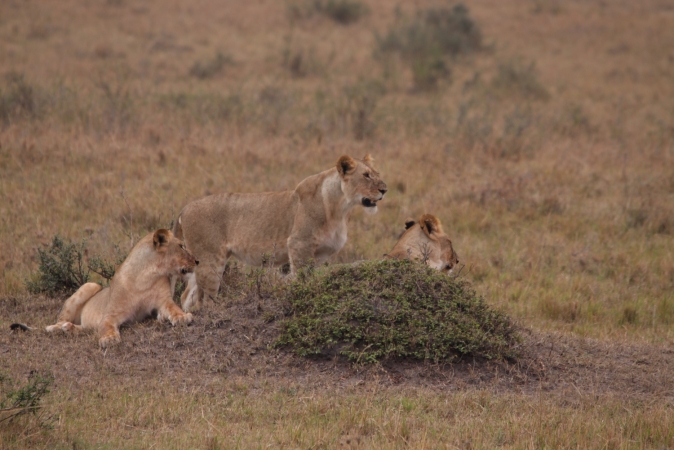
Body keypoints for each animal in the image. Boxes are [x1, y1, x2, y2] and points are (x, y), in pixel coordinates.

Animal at [43, 229, 197, 348]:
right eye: (181, 246)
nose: (197, 261)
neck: (146, 278)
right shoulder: (111, 314)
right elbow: (105, 326)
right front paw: (109, 339)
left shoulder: (164, 301)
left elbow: (174, 308)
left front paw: (182, 317)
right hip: (91, 285)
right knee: (61, 320)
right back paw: (57, 328)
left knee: (86, 328)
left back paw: (69, 328)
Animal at [173, 153, 386, 312]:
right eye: (366, 175)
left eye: (376, 173)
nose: (385, 190)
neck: (339, 208)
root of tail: (184, 209)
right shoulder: (299, 244)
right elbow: (301, 277)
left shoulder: (321, 254)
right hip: (210, 261)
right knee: (205, 300)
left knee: (186, 296)